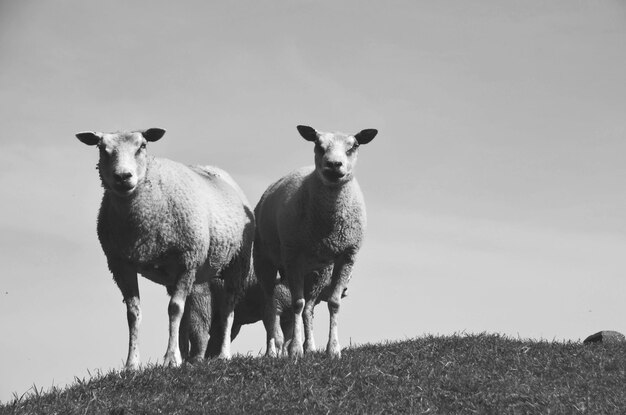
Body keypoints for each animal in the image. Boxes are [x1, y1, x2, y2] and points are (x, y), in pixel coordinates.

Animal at [76, 128, 254, 368]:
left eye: (142, 146)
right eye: (102, 149)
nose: (123, 177)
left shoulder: (188, 259)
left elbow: (174, 308)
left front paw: (170, 358)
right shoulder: (120, 264)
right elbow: (133, 313)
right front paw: (132, 364)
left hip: (236, 263)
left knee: (227, 308)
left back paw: (223, 354)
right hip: (180, 274)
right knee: (188, 314)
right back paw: (186, 356)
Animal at [252, 122, 376, 358]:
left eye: (354, 145)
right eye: (318, 144)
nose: (334, 165)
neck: (328, 225)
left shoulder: (347, 255)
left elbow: (334, 303)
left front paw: (332, 350)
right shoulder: (292, 256)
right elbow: (296, 303)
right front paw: (294, 350)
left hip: (316, 271)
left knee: (309, 308)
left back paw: (310, 347)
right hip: (265, 260)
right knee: (271, 304)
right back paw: (274, 349)